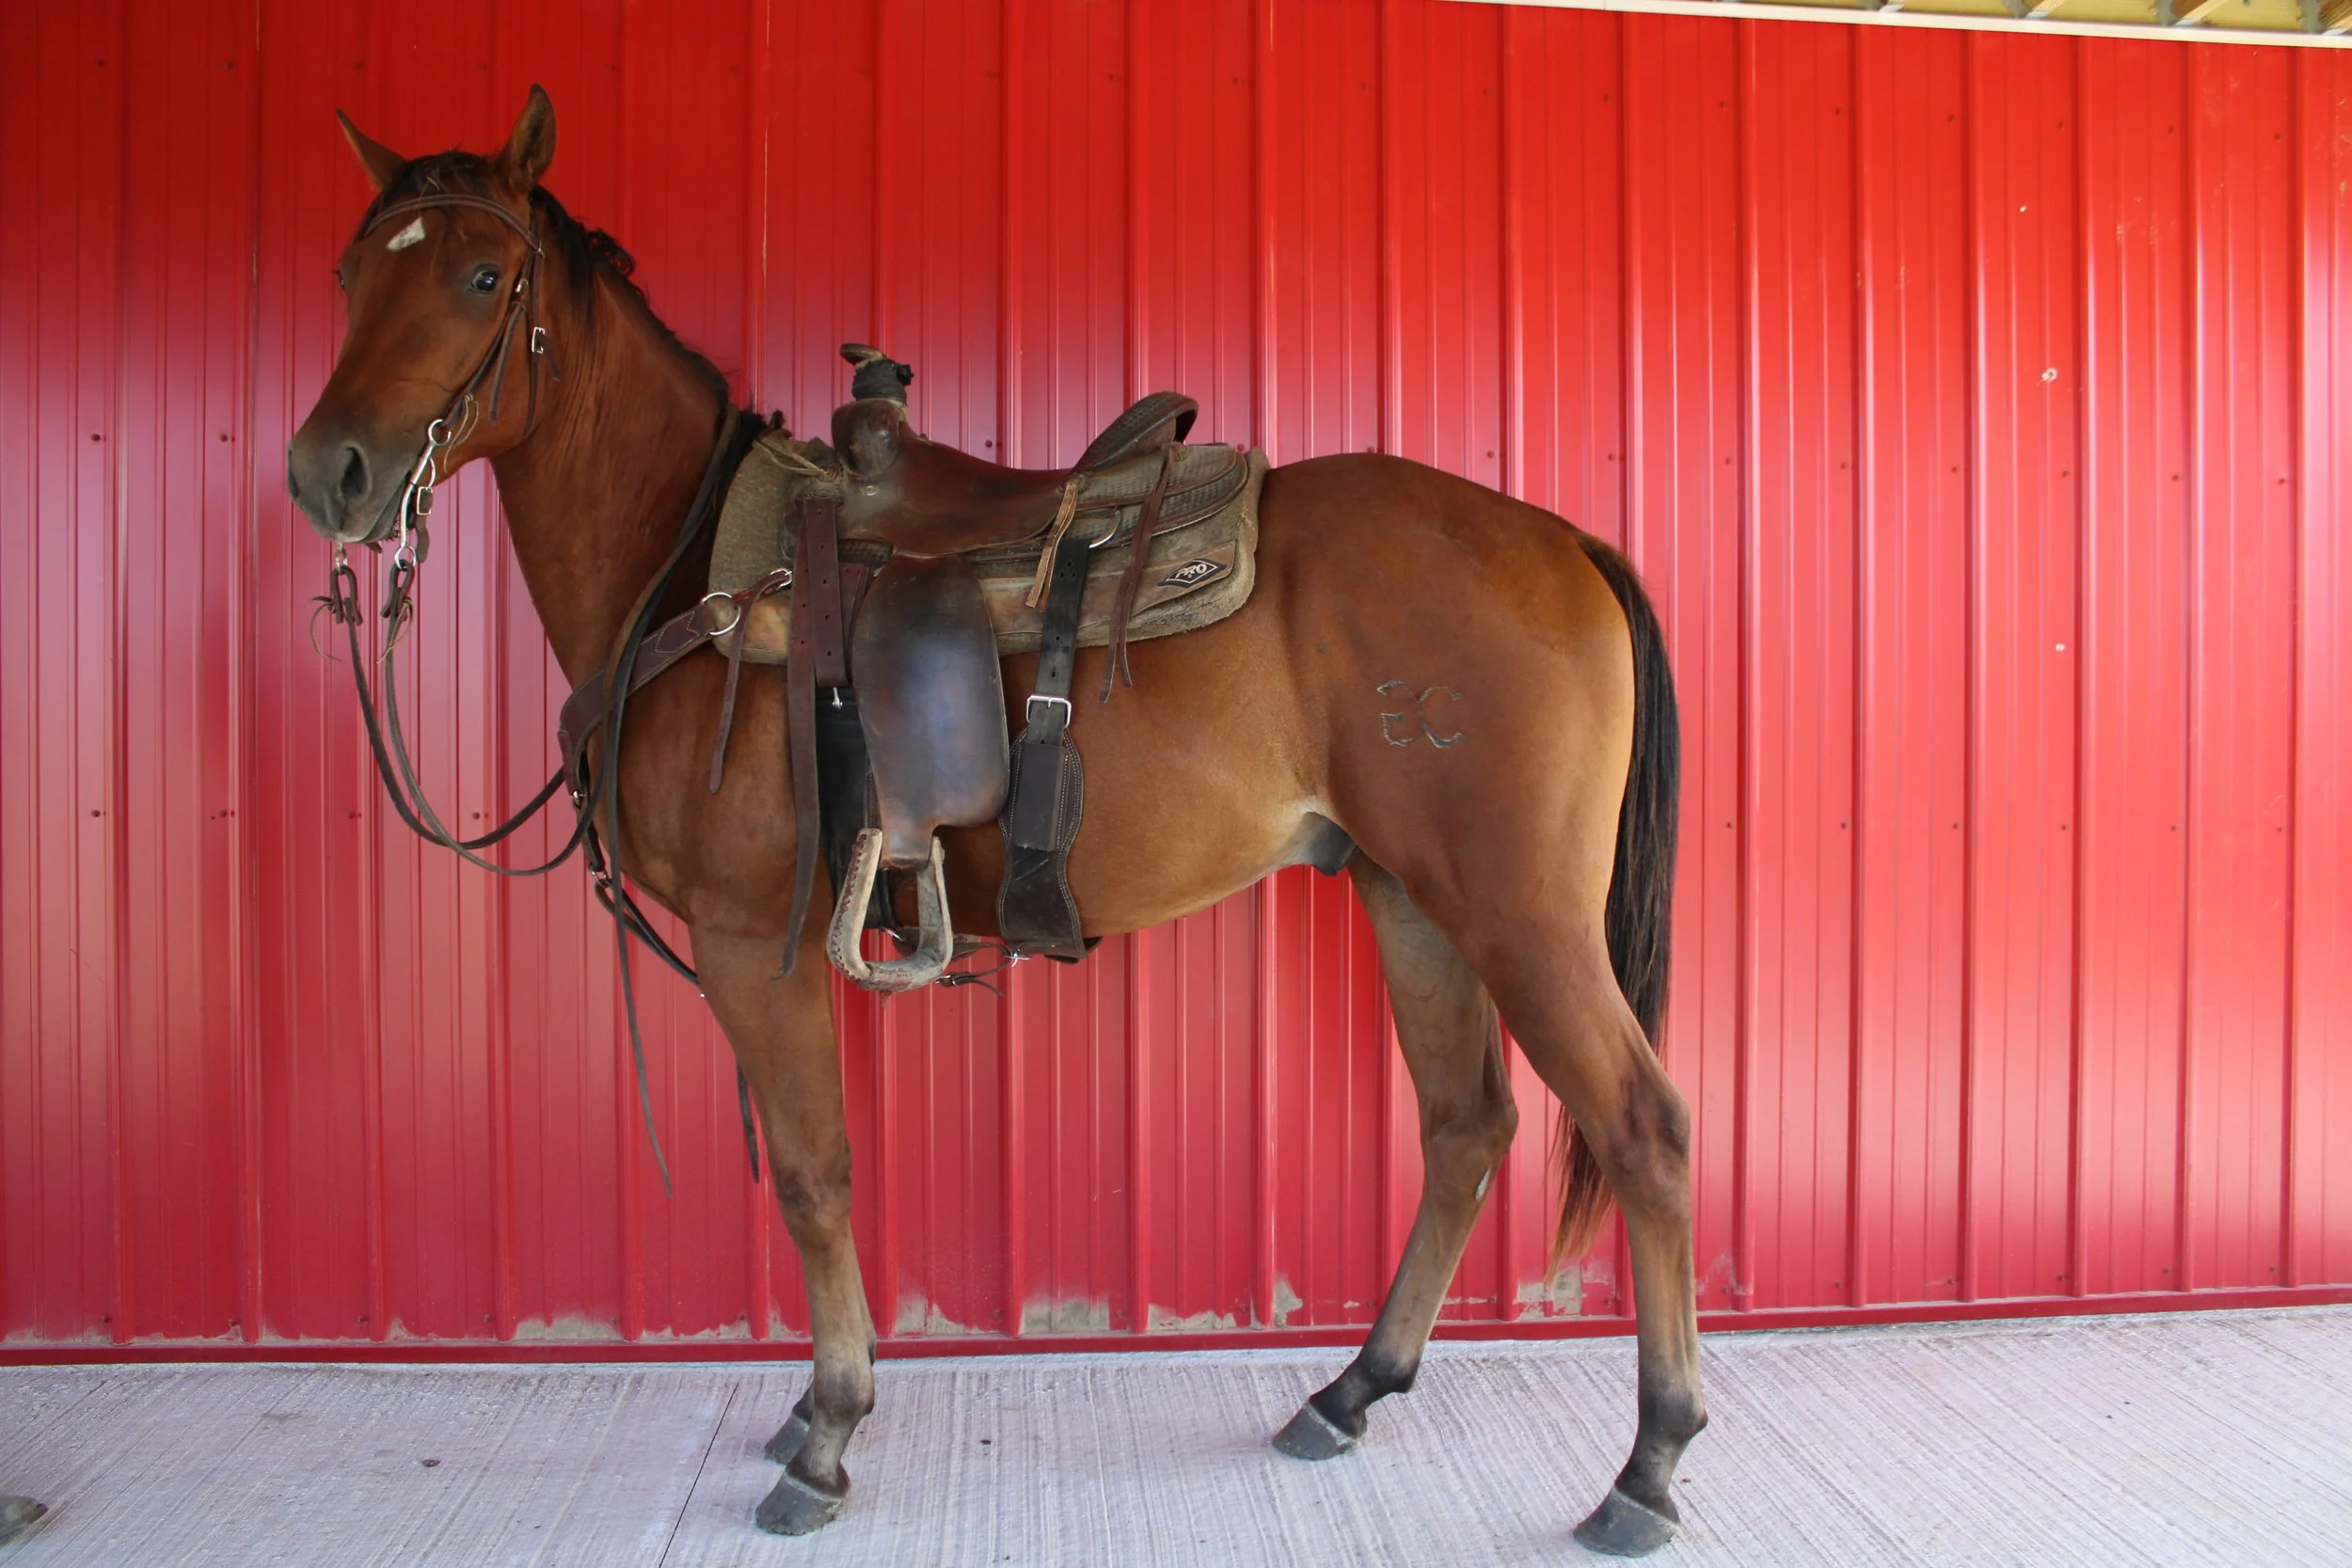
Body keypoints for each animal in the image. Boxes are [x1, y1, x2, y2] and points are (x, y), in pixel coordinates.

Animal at [285, 87, 1701, 1557]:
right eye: (347, 274)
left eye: (481, 276)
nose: (331, 472)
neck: (690, 572)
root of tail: (1557, 537)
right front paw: (814, 1410)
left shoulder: (752, 945)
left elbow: (813, 1175)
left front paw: (828, 1431)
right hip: (1408, 893)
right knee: (1464, 1126)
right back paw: (1353, 1387)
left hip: (1517, 912)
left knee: (1645, 1130)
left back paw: (1647, 1463)